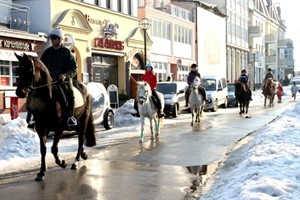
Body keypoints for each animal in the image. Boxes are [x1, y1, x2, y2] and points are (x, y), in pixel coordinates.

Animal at [14, 53, 96, 181]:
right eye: (18, 69)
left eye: (29, 70)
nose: (20, 92)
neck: (48, 97)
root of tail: (85, 87)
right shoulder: (41, 128)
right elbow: (43, 149)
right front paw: (41, 172)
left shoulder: (59, 127)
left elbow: (53, 148)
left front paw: (62, 162)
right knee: (80, 138)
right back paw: (83, 154)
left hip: (83, 119)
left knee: (81, 139)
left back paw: (76, 162)